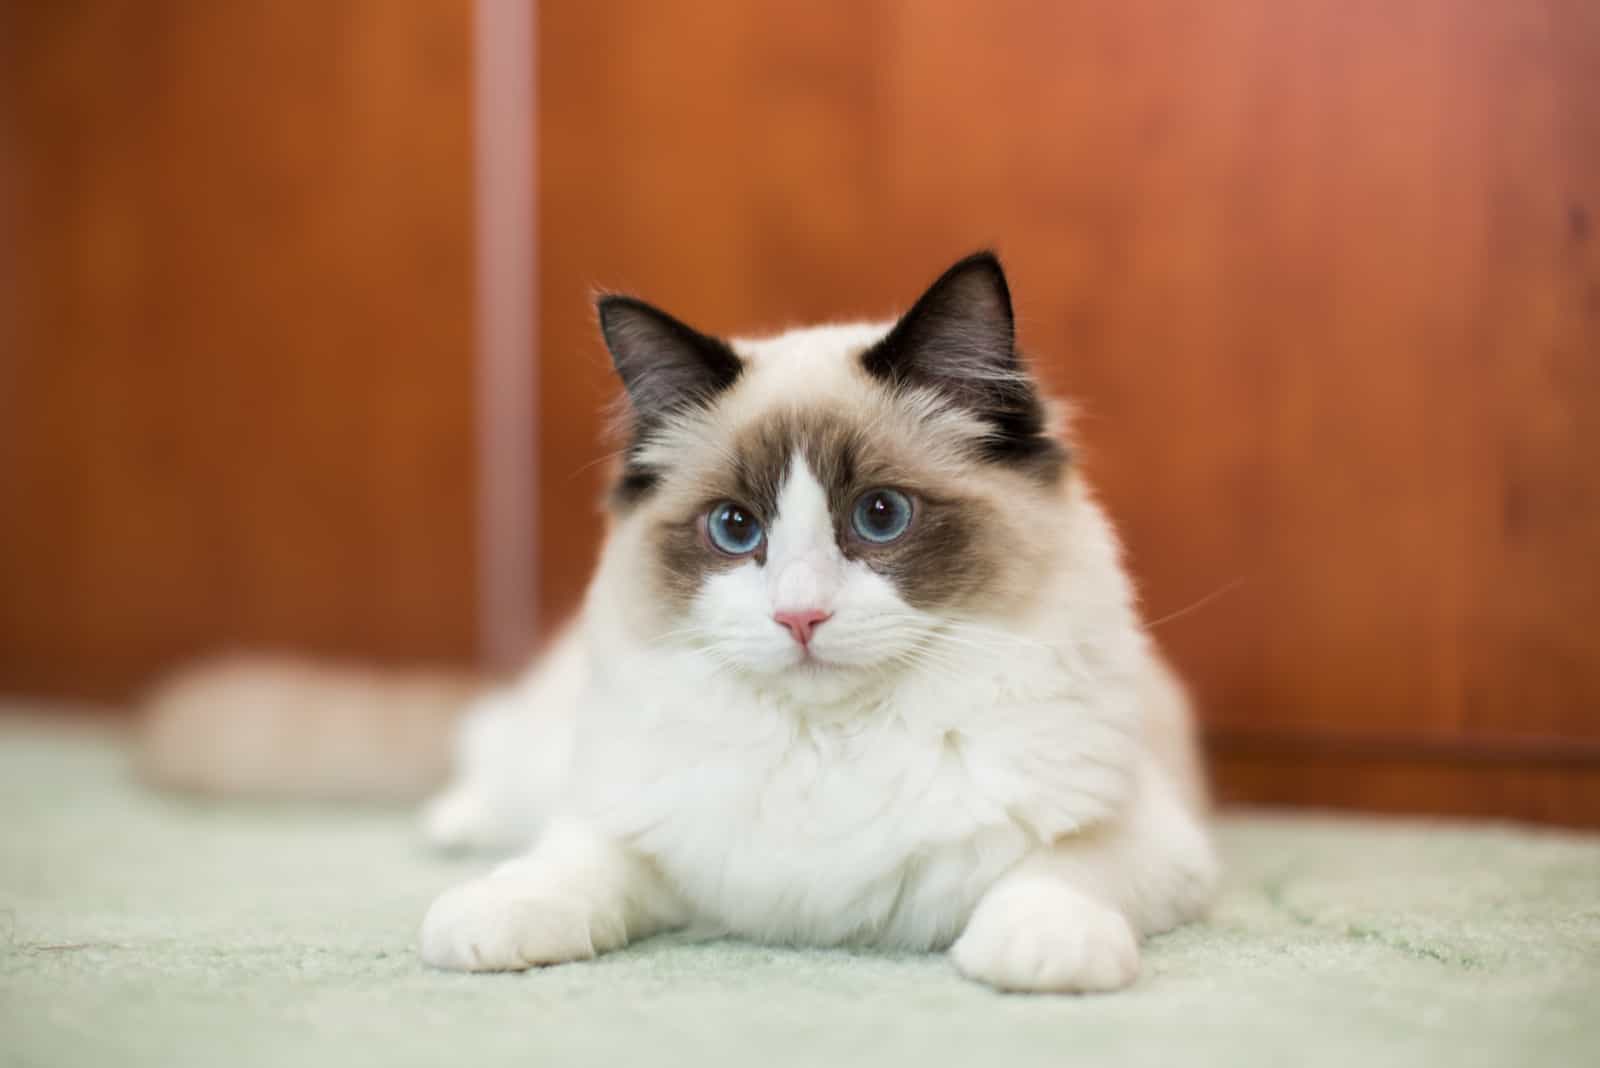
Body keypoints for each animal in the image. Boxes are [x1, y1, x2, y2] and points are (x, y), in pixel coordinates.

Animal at [409, 252, 1209, 991]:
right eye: (735, 528)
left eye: (880, 515)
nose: (800, 616)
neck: (833, 744)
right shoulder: (631, 819)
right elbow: (574, 863)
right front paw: (485, 923)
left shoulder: (1139, 833)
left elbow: (1060, 873)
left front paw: (1040, 955)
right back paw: (449, 829)